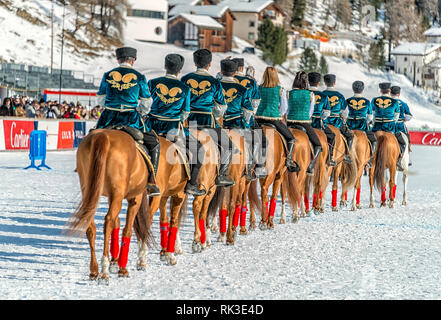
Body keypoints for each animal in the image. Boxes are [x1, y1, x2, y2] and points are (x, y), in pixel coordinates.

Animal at [65, 129, 155, 284]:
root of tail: (102, 136)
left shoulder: (110, 198)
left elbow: (117, 224)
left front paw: (115, 262)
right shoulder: (134, 198)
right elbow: (127, 230)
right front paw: (121, 268)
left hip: (91, 192)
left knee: (92, 225)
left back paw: (94, 270)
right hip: (118, 195)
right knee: (108, 222)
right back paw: (104, 271)